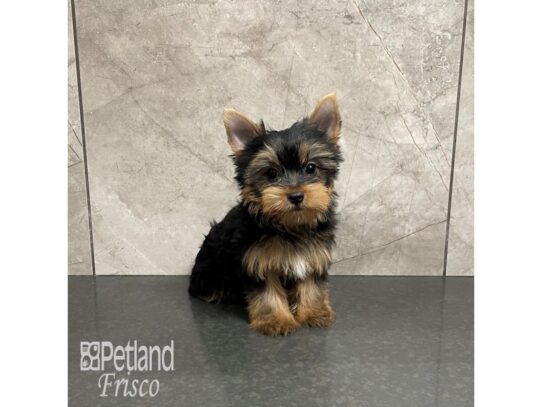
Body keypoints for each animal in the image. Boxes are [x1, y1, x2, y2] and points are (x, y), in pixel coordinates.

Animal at [190, 94, 344, 336]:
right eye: (271, 173)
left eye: (310, 168)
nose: (296, 196)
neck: (289, 225)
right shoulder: (257, 260)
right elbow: (267, 293)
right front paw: (275, 320)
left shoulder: (314, 253)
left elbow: (312, 284)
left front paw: (314, 312)